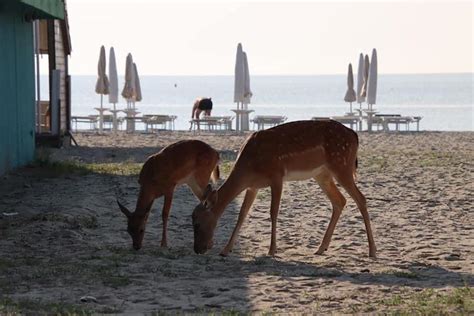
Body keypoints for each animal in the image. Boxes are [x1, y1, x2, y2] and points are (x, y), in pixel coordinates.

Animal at [193, 119, 378, 258]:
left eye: (198, 223)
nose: (198, 249)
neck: (249, 166)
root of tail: (354, 135)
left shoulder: (277, 175)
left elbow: (273, 212)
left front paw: (272, 250)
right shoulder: (252, 186)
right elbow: (242, 214)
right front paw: (226, 250)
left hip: (341, 164)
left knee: (360, 198)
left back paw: (372, 251)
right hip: (322, 174)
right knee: (340, 200)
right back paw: (320, 248)